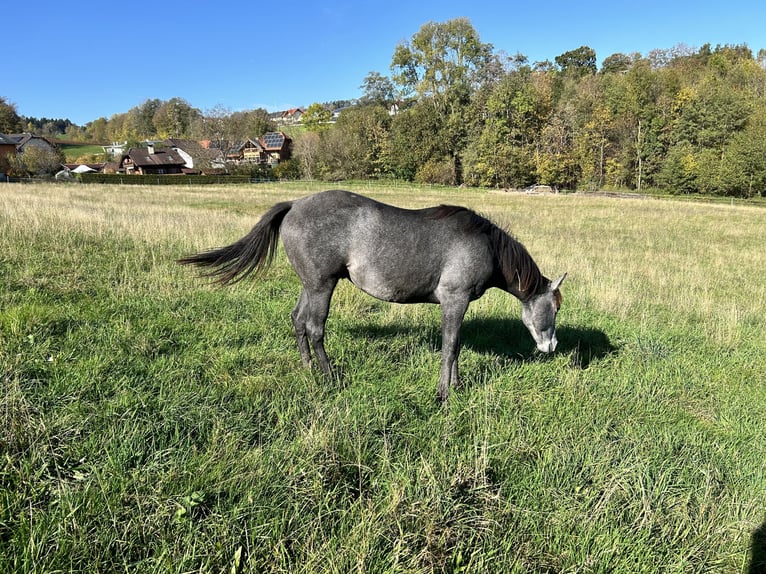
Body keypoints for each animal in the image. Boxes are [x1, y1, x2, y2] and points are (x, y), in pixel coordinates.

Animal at [178, 191, 564, 402]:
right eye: (555, 309)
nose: (551, 347)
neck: (487, 245)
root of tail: (294, 204)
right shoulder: (455, 300)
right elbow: (451, 347)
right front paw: (444, 392)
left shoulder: (459, 304)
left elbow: (455, 347)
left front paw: (455, 384)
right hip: (322, 286)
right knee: (315, 328)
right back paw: (330, 377)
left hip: (311, 285)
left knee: (298, 321)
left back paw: (308, 369)